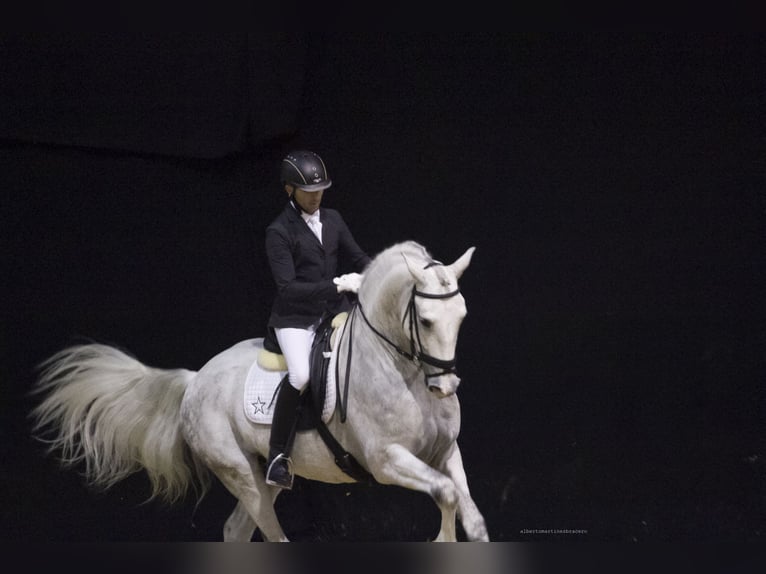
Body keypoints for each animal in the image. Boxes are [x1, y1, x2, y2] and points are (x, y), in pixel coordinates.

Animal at [29, 240, 489, 542]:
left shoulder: (445, 452)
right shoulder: (386, 460)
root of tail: (196, 379)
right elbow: (447, 494)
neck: (401, 370)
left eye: (463, 315)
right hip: (240, 473)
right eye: (425, 320)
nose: (445, 386)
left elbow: (469, 513)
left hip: (263, 472)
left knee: (236, 530)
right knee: (266, 532)